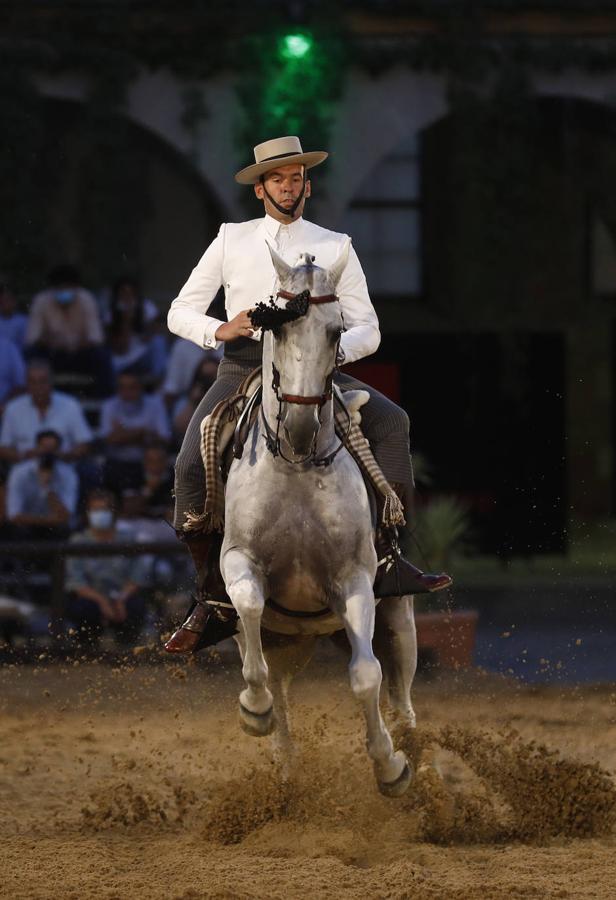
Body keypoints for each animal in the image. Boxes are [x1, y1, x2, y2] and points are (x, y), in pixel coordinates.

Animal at [221, 243, 418, 800]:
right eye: (280, 330)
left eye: (336, 331)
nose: (302, 424)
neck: (295, 466)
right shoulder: (238, 561)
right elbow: (250, 608)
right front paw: (254, 710)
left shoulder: (354, 578)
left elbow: (366, 676)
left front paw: (390, 767)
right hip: (285, 638)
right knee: (276, 683)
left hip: (398, 617)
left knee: (402, 700)